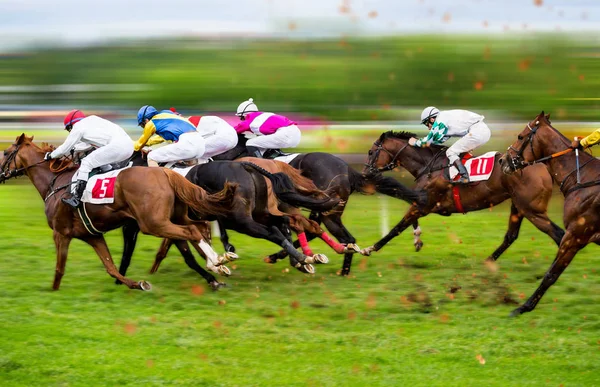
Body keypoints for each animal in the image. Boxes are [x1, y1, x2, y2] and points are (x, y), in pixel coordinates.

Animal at [0, 136, 239, 292]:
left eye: (5, 152)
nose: (0, 173)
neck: (56, 183)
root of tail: (164, 171)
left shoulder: (61, 233)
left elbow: (60, 268)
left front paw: (53, 292)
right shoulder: (92, 235)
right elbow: (111, 267)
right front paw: (137, 284)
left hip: (153, 223)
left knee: (191, 231)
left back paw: (216, 262)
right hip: (170, 219)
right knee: (196, 229)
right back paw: (219, 263)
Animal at [360, 130, 568, 260]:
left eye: (371, 152)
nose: (365, 173)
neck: (429, 166)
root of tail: (541, 165)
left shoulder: (424, 204)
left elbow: (396, 228)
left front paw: (369, 248)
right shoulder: (421, 202)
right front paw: (417, 239)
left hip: (532, 209)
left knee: (559, 234)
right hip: (519, 206)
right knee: (511, 236)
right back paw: (488, 261)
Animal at [496, 110, 600, 316]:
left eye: (520, 136)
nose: (502, 160)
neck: (584, 180)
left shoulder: (574, 237)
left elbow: (551, 274)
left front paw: (524, 307)